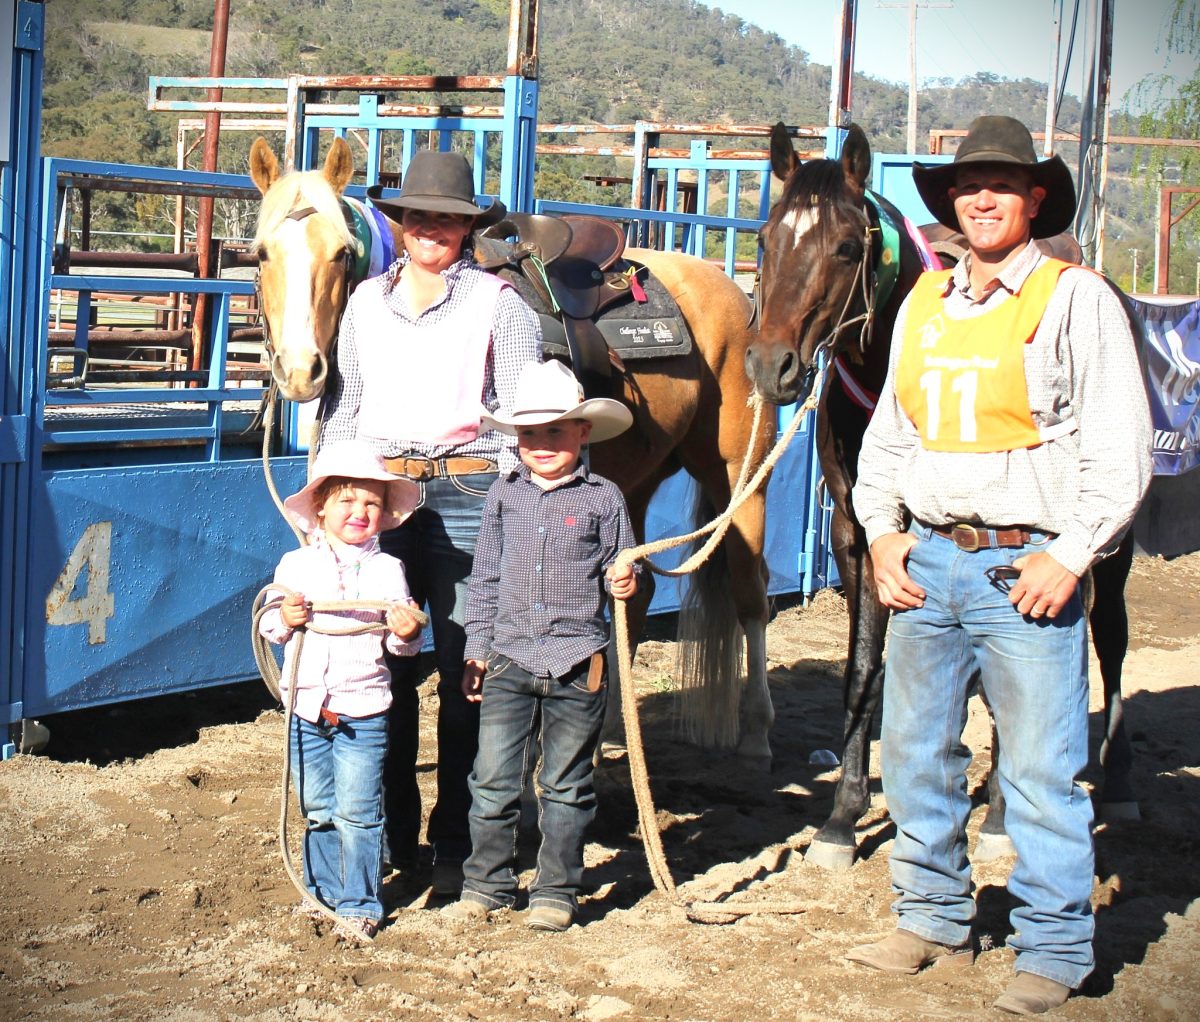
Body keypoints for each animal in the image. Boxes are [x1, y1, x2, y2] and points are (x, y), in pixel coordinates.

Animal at [250, 141, 777, 767]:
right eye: (261, 254)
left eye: (339, 253)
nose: (301, 370)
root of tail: (733, 292)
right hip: (636, 479)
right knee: (637, 589)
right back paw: (611, 734)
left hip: (739, 473)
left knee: (750, 589)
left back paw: (755, 730)